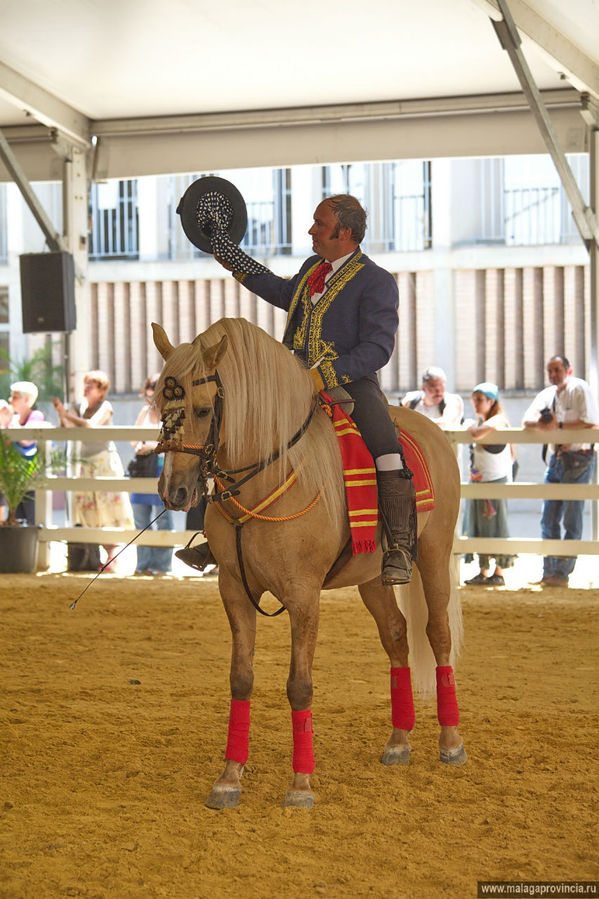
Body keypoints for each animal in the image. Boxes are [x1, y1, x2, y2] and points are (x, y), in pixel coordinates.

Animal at [152, 316, 466, 808]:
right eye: (158, 406)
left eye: (203, 411)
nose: (175, 492)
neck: (266, 480)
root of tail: (430, 430)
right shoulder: (235, 591)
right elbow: (241, 678)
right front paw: (229, 778)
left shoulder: (303, 598)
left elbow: (299, 686)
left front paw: (300, 784)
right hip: (372, 576)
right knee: (396, 637)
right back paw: (399, 740)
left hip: (433, 554)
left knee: (437, 635)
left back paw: (450, 741)